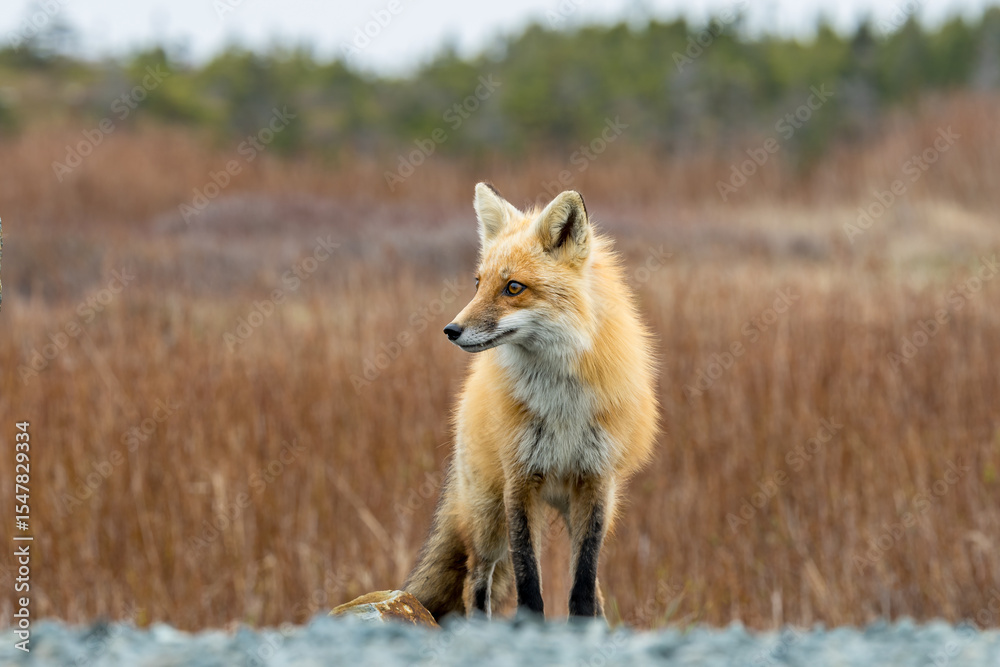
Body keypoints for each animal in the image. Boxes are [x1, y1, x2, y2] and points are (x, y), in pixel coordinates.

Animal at [403, 182, 658, 621]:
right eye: (478, 283)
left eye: (513, 288)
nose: (451, 330)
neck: (561, 403)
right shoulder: (520, 480)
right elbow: (528, 582)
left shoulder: (596, 482)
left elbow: (583, 584)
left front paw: (584, 623)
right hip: (488, 517)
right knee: (476, 577)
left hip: (591, 510)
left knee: (594, 583)